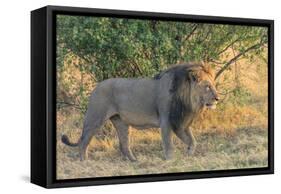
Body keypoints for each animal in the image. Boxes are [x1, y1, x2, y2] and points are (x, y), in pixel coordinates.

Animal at [61, 62, 219, 161]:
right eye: (207, 86)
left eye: (213, 85)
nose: (217, 98)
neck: (189, 100)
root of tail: (96, 87)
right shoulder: (167, 121)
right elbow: (169, 144)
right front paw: (171, 160)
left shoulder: (181, 122)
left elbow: (192, 141)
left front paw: (189, 154)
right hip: (95, 118)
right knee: (83, 141)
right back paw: (84, 161)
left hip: (121, 123)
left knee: (124, 145)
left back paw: (134, 161)